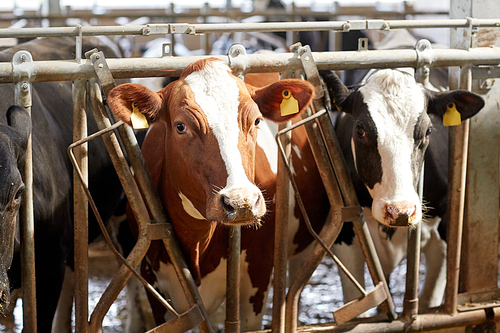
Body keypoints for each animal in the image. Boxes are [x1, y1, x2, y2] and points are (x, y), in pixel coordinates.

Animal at [107, 57, 328, 330]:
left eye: (256, 121)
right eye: (180, 126)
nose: (242, 201)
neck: (198, 242)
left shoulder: (257, 275)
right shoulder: (156, 287)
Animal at [320, 68, 484, 312]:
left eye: (428, 131)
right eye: (360, 131)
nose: (400, 210)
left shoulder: (444, 233)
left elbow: (428, 302)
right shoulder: (345, 234)